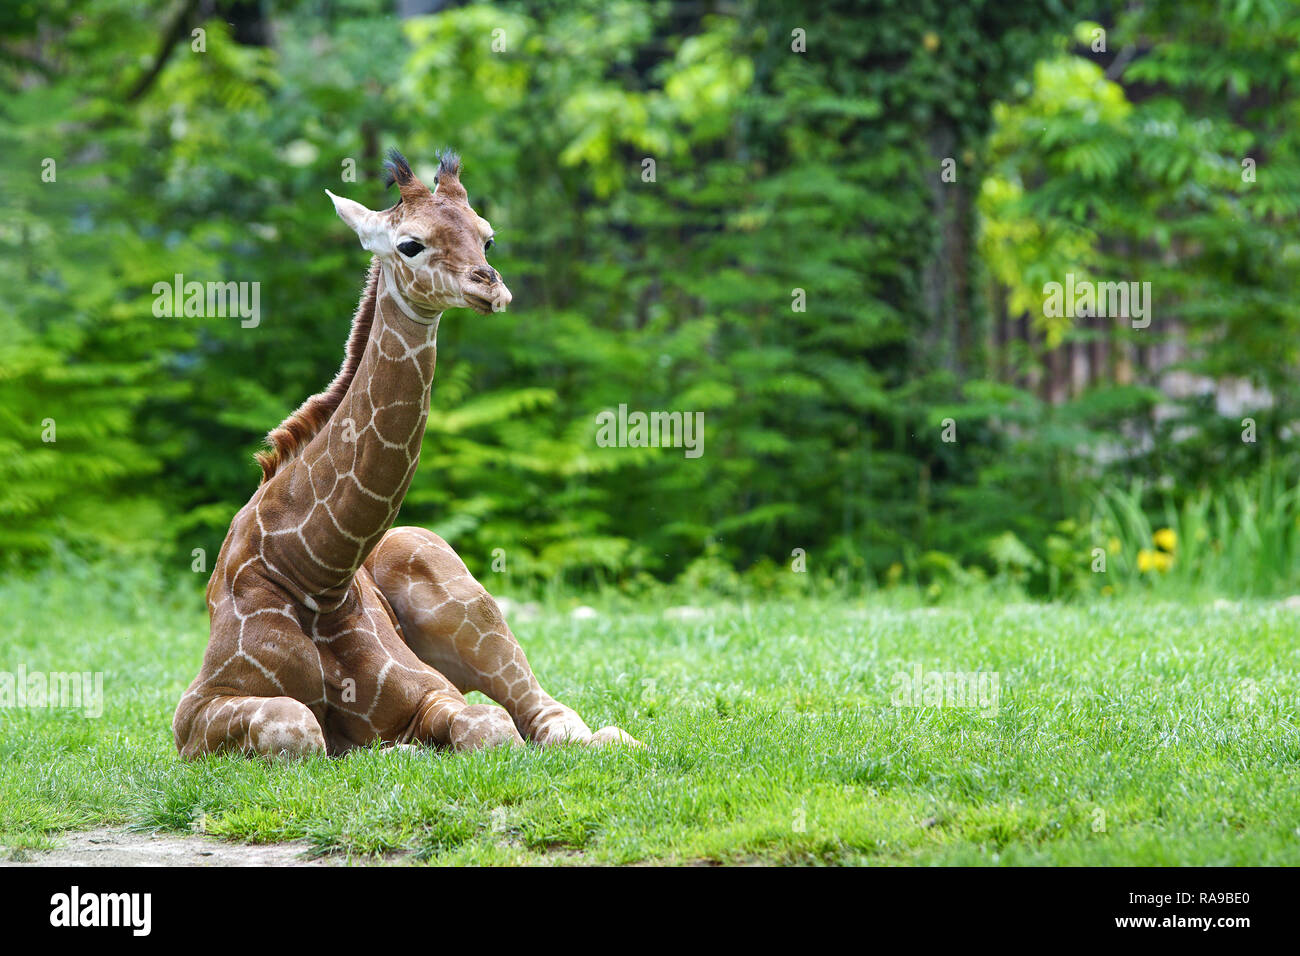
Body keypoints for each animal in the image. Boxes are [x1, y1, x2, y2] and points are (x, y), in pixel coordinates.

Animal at [173, 149, 639, 757]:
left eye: (488, 238)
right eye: (410, 244)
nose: (491, 288)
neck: (314, 574)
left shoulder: (433, 690)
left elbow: (491, 728)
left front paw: (405, 746)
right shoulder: (195, 713)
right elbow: (297, 724)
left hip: (457, 586)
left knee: (559, 719)